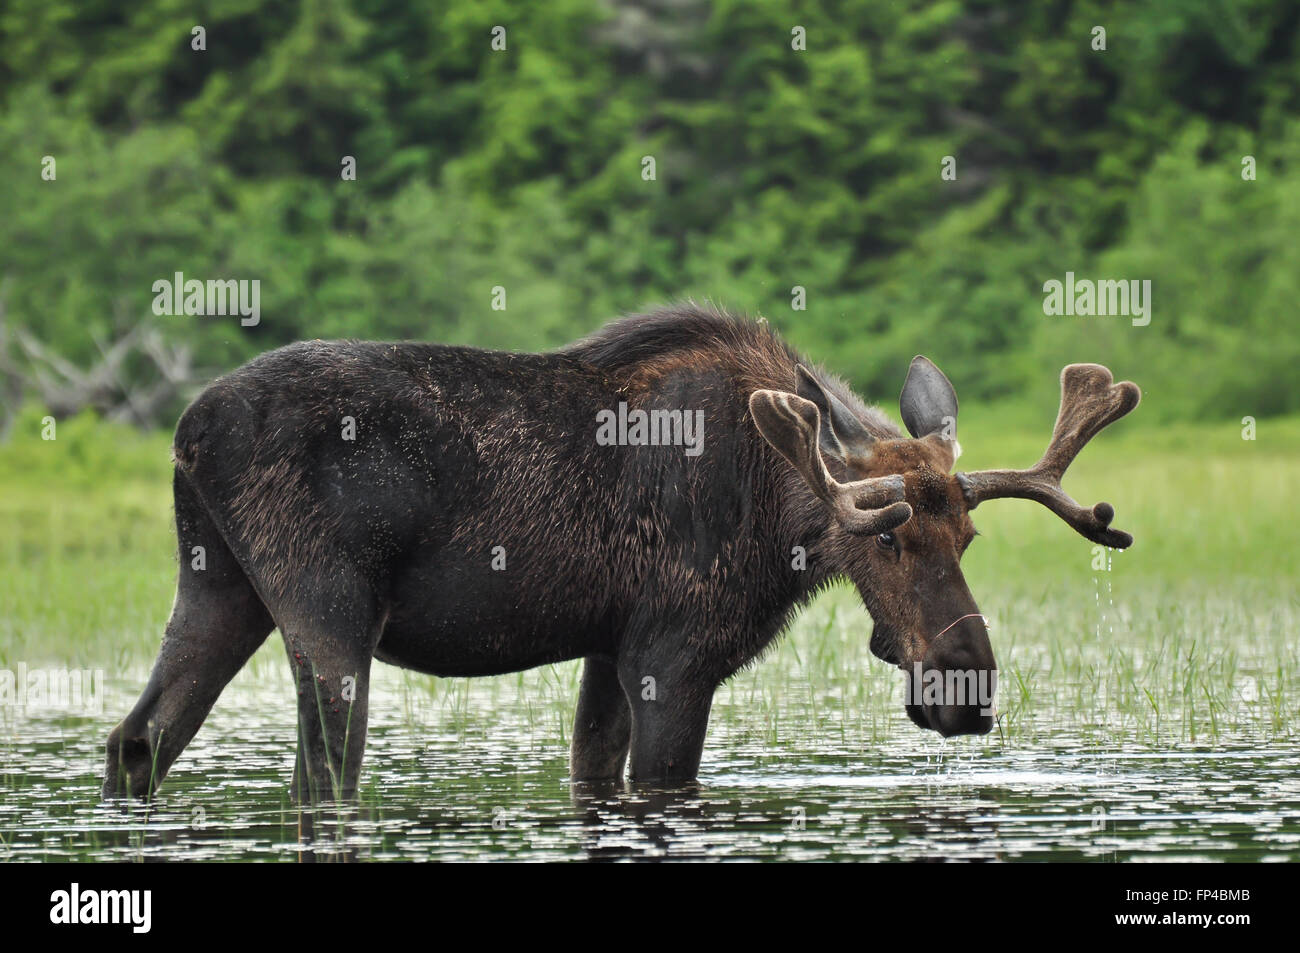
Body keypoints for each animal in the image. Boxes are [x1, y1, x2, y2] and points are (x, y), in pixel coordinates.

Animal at [101, 302, 1138, 795]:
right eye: (880, 540)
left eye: (966, 532)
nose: (967, 688)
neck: (780, 509)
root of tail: (186, 433)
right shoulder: (673, 655)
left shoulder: (608, 645)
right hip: (326, 606)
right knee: (321, 778)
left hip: (218, 587)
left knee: (136, 740)